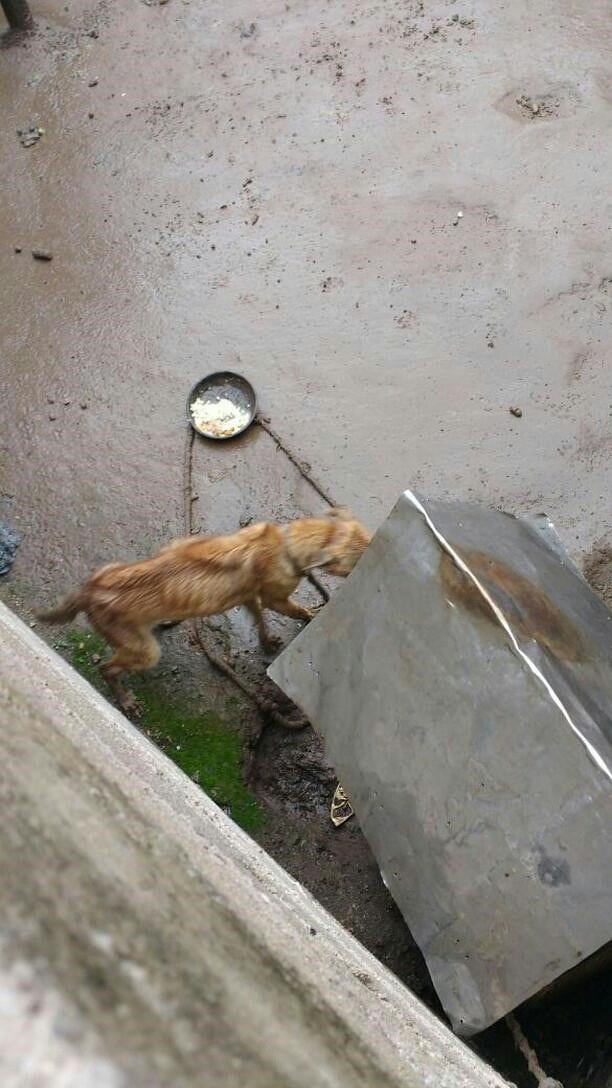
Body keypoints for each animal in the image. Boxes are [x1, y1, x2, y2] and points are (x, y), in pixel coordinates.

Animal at [39, 511, 372, 713]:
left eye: (371, 538)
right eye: (359, 559)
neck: (286, 543)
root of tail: (89, 591)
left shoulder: (249, 596)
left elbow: (259, 619)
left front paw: (267, 641)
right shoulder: (275, 598)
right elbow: (294, 610)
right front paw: (313, 616)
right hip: (144, 651)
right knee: (107, 669)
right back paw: (125, 700)